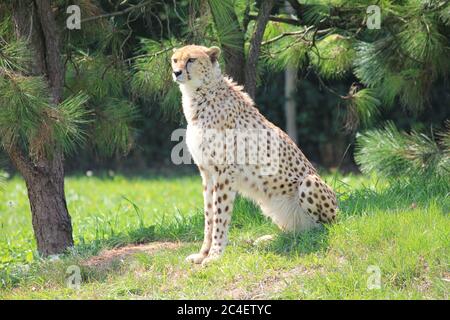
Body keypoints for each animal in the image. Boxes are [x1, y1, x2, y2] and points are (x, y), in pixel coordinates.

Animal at [172, 44, 338, 264]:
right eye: (175, 60)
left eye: (191, 59)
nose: (176, 72)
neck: (199, 94)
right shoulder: (207, 172)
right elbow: (209, 216)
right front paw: (202, 253)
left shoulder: (224, 173)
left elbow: (220, 215)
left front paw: (215, 255)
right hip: (268, 203)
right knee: (297, 232)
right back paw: (270, 239)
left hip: (310, 183)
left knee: (322, 229)